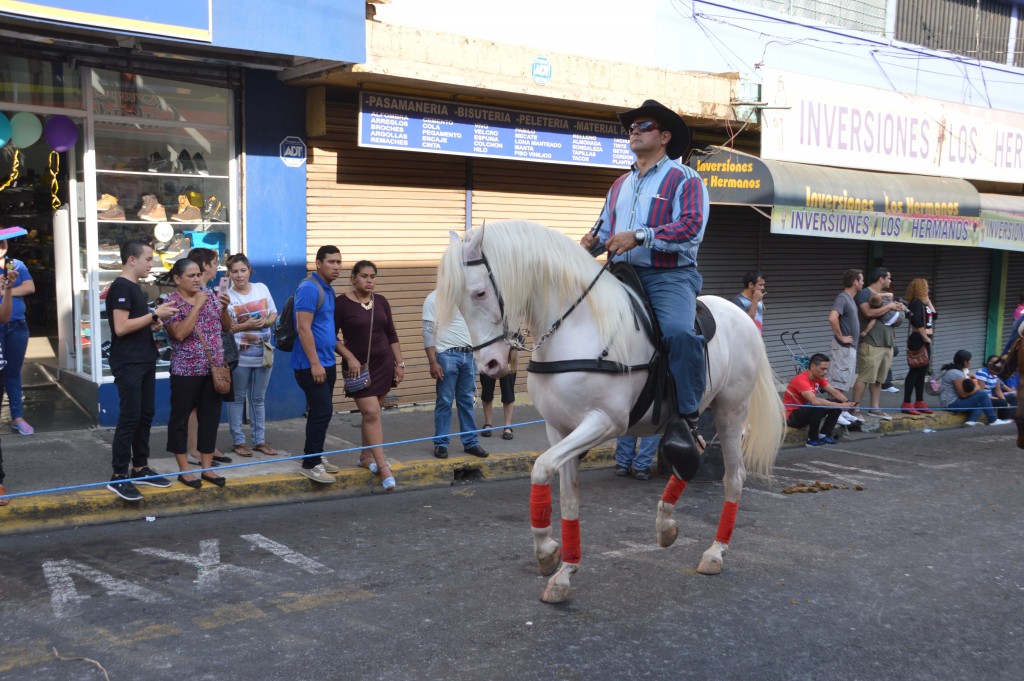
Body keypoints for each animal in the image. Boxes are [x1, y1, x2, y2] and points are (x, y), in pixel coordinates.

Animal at [438, 219, 782, 602]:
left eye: (480, 293)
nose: (490, 365)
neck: (577, 327)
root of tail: (742, 316)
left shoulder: (605, 422)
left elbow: (540, 469)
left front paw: (547, 552)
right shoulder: (558, 429)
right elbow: (568, 498)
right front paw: (563, 569)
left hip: (730, 411)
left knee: (732, 477)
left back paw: (715, 552)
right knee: (690, 453)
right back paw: (666, 525)